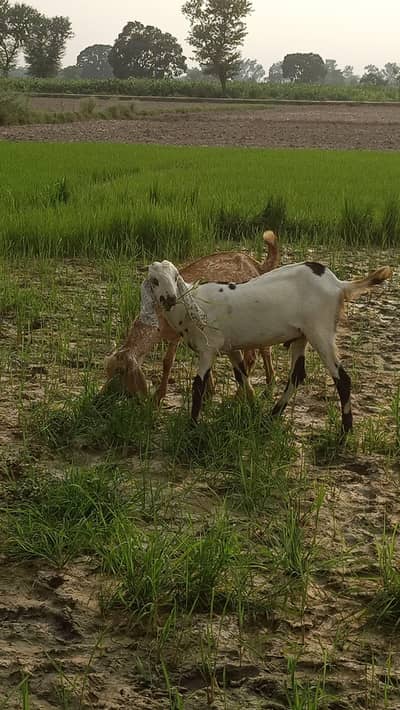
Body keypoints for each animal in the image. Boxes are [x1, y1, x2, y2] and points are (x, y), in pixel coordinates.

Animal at [104, 231, 279, 402]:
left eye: (121, 370)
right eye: (107, 370)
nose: (104, 395)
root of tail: (256, 264)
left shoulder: (177, 335)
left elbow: (167, 362)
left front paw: (159, 396)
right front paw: (209, 391)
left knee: (260, 353)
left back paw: (259, 391)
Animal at [141, 259, 392, 434]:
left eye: (175, 277)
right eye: (154, 280)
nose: (169, 298)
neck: (190, 305)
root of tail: (338, 284)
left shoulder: (208, 349)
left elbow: (198, 387)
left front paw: (192, 426)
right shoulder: (231, 348)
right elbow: (242, 376)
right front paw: (252, 409)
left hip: (320, 332)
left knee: (342, 379)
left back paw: (345, 431)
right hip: (301, 336)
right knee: (297, 375)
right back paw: (272, 415)